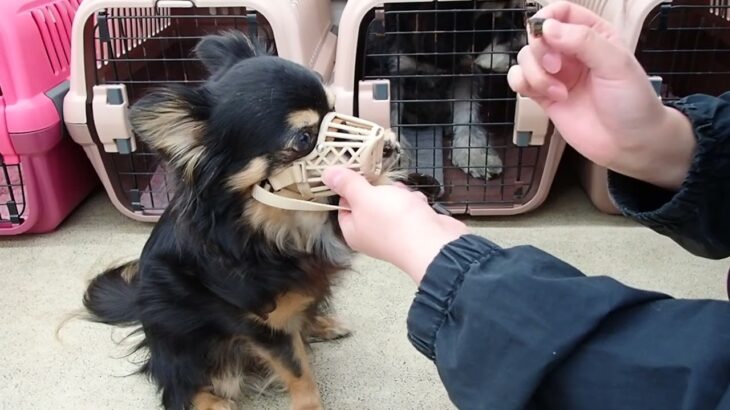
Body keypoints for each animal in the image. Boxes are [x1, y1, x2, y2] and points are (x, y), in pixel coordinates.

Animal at [83, 31, 400, 410]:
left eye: (336, 111)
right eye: (304, 138)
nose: (389, 146)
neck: (276, 223)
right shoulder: (261, 325)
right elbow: (298, 371)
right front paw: (309, 405)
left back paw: (320, 324)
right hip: (187, 342)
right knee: (175, 387)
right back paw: (215, 402)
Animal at [354, 1, 556, 213]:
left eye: (515, 13)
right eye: (487, 21)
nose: (521, 50)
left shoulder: (465, 73)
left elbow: (468, 115)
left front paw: (475, 155)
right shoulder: (393, 72)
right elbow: (392, 116)